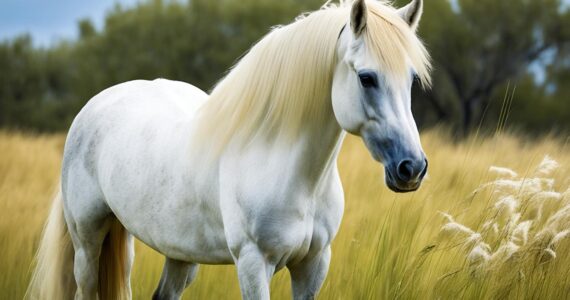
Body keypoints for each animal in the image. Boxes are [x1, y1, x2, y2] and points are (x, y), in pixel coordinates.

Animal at [25, 1, 426, 298]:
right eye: (367, 78)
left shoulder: (313, 265)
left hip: (178, 252)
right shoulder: (253, 264)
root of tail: (94, 106)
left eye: (410, 79)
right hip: (88, 241)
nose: (412, 168)